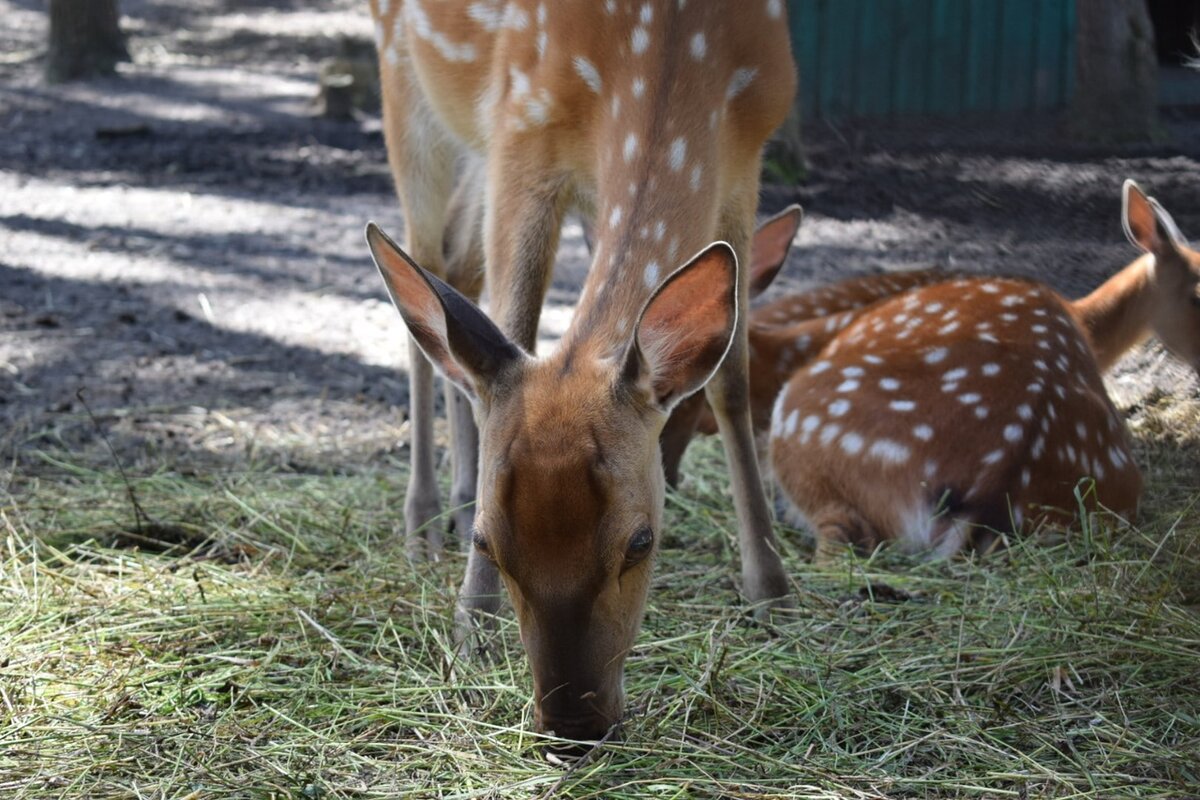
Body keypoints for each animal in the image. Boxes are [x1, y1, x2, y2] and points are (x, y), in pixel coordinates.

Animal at [364, 0, 796, 743]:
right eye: (490, 542)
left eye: (642, 542)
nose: (571, 722)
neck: (675, 49)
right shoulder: (522, 123)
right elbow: (512, 326)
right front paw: (470, 621)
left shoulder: (744, 152)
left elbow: (731, 376)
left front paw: (772, 589)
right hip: (407, 81)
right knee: (426, 259)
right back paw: (422, 518)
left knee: (454, 269)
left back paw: (454, 492)